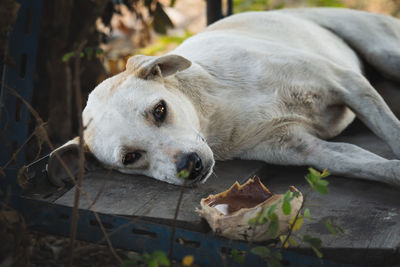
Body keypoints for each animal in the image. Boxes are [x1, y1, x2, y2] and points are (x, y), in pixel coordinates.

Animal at [48, 8, 400, 188]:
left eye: (159, 110)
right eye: (130, 158)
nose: (190, 166)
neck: (219, 107)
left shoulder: (346, 83)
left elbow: (392, 131)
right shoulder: (305, 148)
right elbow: (370, 165)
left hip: (384, 52)